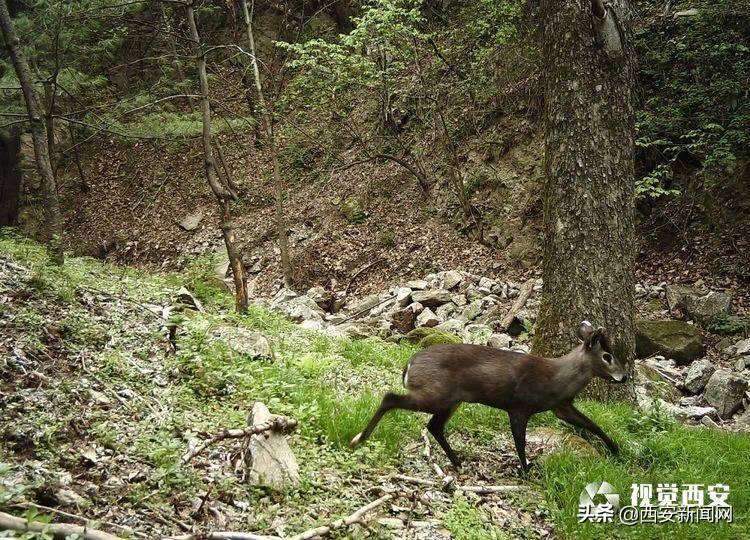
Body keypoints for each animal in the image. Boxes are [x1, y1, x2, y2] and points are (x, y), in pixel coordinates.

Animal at [352, 320, 628, 468]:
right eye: (607, 356)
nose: (624, 376)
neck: (557, 379)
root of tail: (408, 365)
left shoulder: (561, 406)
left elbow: (593, 424)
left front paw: (615, 449)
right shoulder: (519, 406)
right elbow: (519, 442)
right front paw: (526, 469)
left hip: (451, 400)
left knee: (434, 426)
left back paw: (457, 462)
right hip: (435, 393)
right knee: (390, 397)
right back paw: (359, 439)